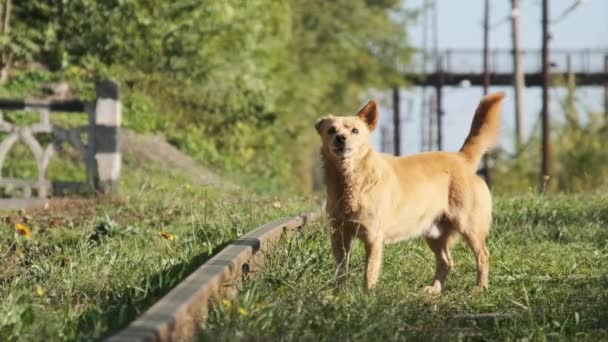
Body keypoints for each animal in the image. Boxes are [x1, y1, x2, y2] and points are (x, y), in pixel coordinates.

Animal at [316, 92, 506, 292]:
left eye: (354, 131)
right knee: (446, 261)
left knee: (483, 255)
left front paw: (367, 295)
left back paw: (480, 287)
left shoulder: (373, 237)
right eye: (331, 131)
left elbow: (369, 271)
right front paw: (339, 292)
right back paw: (435, 289)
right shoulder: (339, 235)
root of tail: (461, 158)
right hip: (434, 233)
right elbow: (341, 269)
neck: (349, 181)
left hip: (469, 226)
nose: (340, 138)